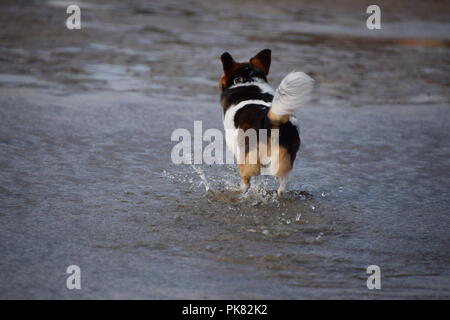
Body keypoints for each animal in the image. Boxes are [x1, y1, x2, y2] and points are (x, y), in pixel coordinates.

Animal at [220, 49, 314, 196]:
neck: (247, 81)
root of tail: (270, 120)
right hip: (284, 160)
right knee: (282, 186)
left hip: (249, 159)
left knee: (246, 181)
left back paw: (241, 192)